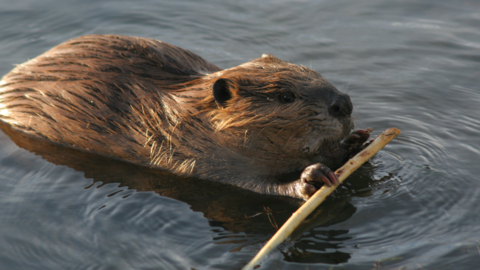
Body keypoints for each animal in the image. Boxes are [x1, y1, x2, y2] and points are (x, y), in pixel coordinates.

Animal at [0, 34, 372, 200]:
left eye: (315, 73)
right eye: (286, 96)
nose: (343, 104)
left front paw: (356, 142)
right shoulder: (194, 155)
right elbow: (251, 185)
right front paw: (311, 178)